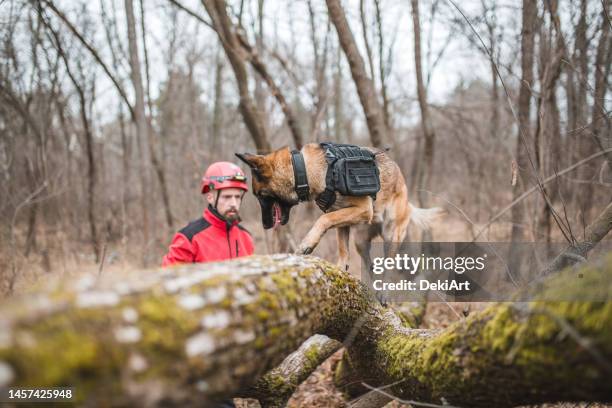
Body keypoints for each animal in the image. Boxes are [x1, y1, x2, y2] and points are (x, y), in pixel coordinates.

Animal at [235, 143, 444, 270]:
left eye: (261, 196)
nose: (265, 225)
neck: (304, 170)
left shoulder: (361, 210)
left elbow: (323, 219)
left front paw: (307, 243)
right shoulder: (342, 219)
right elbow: (342, 247)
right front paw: (341, 268)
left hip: (391, 234)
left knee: (389, 265)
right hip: (360, 240)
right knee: (369, 263)